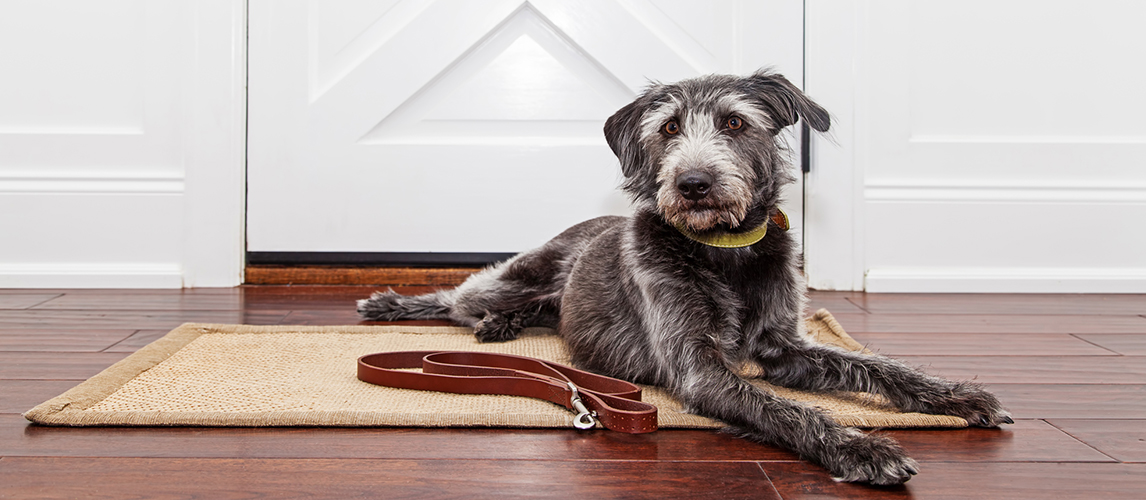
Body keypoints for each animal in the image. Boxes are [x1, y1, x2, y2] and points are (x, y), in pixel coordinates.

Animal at [359, 69, 1013, 483]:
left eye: (735, 124)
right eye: (670, 128)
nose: (693, 183)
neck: (725, 250)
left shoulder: (785, 347)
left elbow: (878, 367)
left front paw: (957, 395)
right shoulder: (700, 368)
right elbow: (790, 411)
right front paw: (863, 447)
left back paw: (504, 326)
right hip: (516, 274)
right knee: (459, 296)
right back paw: (400, 306)